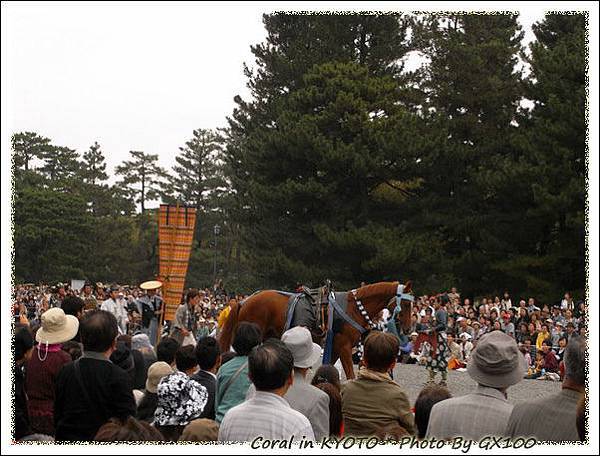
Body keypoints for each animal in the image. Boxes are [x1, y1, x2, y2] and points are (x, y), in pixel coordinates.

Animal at [219, 280, 412, 380]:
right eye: (407, 303)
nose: (408, 329)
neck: (354, 307)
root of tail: (245, 301)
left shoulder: (335, 347)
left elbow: (327, 370)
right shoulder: (344, 346)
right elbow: (350, 375)